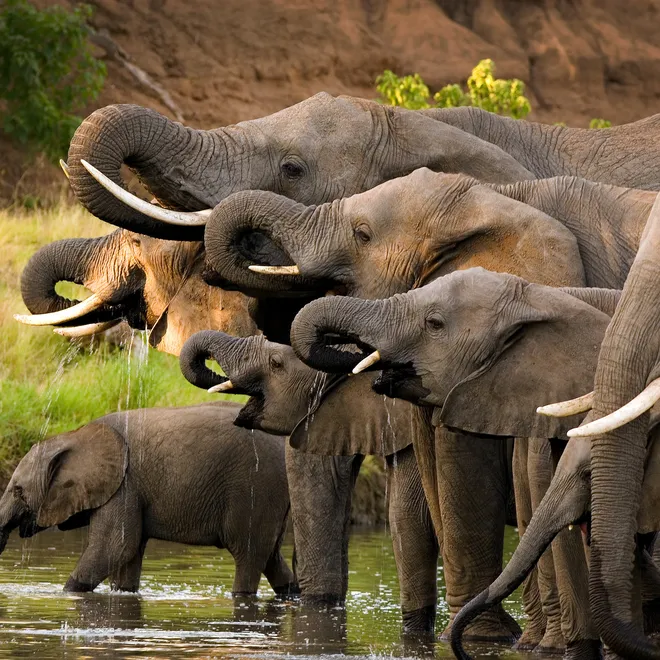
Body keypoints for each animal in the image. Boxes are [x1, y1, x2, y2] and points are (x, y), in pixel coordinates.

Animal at [0, 401, 296, 596]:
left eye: (18, 490)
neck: (75, 435)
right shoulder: (129, 491)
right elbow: (127, 556)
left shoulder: (124, 486)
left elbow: (114, 547)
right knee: (272, 558)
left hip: (256, 489)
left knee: (249, 557)